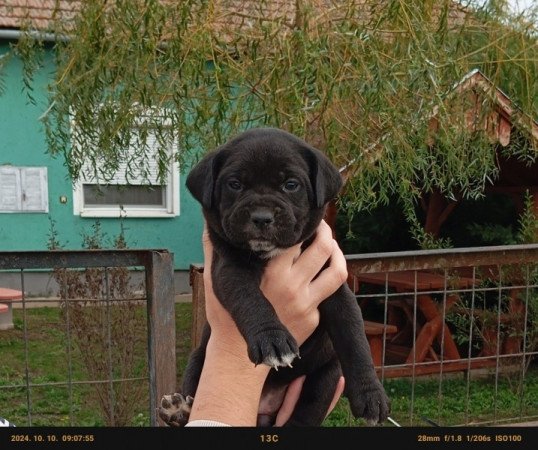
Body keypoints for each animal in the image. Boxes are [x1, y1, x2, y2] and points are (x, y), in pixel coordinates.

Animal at [157, 126, 388, 426]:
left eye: (291, 184)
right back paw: (179, 410)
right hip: (200, 357)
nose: (261, 216)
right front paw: (272, 340)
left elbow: (355, 338)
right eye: (235, 184)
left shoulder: (335, 286)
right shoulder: (229, 270)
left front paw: (371, 394)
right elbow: (251, 300)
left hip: (327, 374)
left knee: (306, 412)